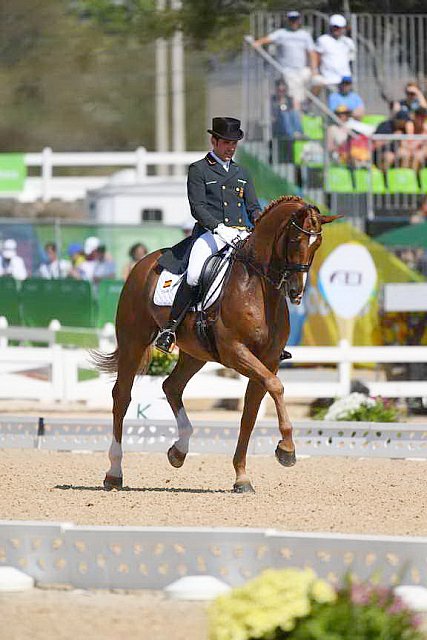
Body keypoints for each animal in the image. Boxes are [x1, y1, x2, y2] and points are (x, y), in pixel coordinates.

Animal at [94, 198, 342, 492]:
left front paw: (242, 476)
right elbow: (276, 387)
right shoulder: (235, 352)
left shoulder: (268, 360)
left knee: (171, 386)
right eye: (295, 240)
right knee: (122, 396)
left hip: (195, 353)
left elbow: (250, 413)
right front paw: (287, 449)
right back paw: (114, 473)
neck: (258, 288)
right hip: (133, 341)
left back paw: (178, 451)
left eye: (317, 244)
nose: (295, 292)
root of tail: (144, 262)